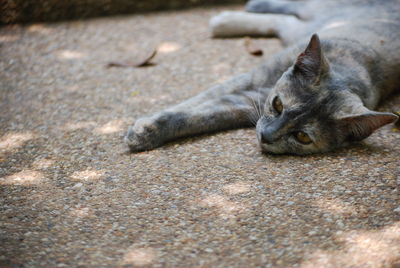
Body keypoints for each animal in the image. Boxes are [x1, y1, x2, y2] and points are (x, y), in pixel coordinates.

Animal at [124, 0, 396, 155]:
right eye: (278, 105)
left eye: (302, 137)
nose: (266, 135)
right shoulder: (249, 79)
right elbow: (191, 104)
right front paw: (144, 129)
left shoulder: (244, 102)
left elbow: (200, 117)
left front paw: (146, 133)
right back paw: (239, 12)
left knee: (283, 20)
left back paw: (227, 20)